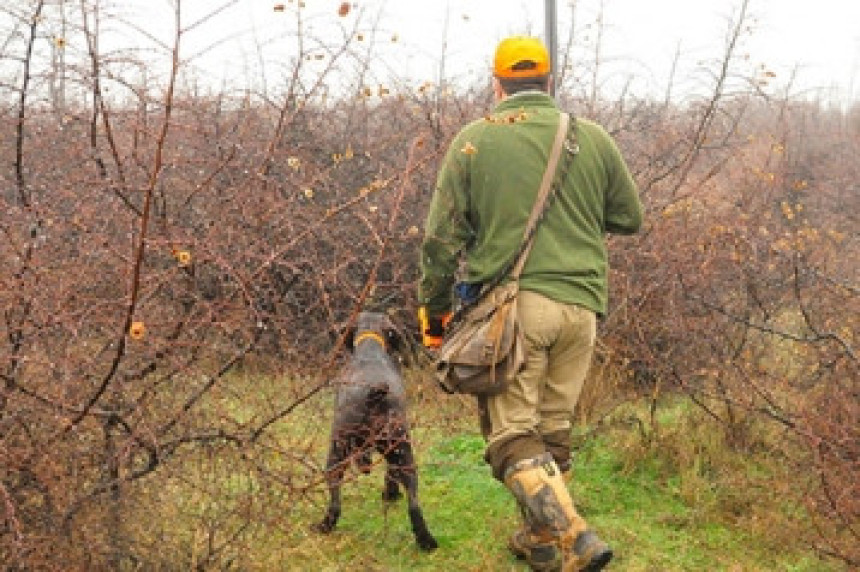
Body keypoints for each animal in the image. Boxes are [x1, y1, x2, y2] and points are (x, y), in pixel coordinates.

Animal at [314, 310, 436, 552]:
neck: (370, 348)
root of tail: (374, 392)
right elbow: (390, 473)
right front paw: (390, 493)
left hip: (336, 453)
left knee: (335, 502)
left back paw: (325, 525)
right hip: (403, 453)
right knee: (414, 502)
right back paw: (425, 540)